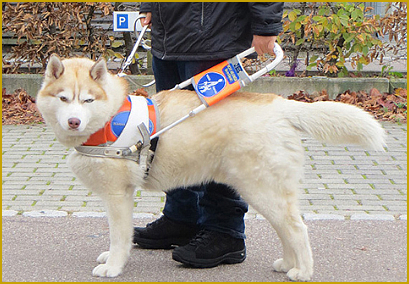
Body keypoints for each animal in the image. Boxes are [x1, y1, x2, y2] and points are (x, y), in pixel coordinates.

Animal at [35, 54, 386, 280]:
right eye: (64, 98)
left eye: (87, 100)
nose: (74, 121)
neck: (109, 118)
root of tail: (280, 105)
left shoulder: (118, 195)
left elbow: (119, 237)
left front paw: (113, 267)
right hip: (265, 192)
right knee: (286, 227)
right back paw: (288, 264)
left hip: (260, 190)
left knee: (298, 228)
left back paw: (304, 272)